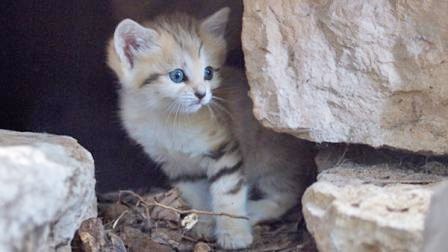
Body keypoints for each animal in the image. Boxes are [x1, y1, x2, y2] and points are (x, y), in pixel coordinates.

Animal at [106, 6, 316, 249]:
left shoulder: (223, 151)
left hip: (271, 159)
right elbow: (198, 195)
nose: (202, 94)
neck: (167, 117)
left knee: (289, 194)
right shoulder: (177, 166)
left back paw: (253, 211)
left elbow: (227, 194)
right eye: (177, 75)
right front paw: (206, 222)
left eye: (208, 72)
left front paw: (234, 233)